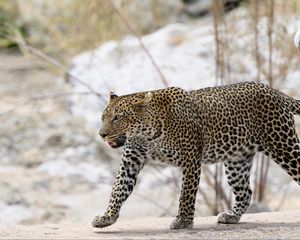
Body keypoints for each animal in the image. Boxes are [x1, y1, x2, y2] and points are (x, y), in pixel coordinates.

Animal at [91, 82, 300, 229]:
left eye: (117, 118)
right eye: (103, 118)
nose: (101, 134)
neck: (148, 134)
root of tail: (275, 91)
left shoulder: (190, 159)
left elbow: (186, 193)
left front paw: (183, 221)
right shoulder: (131, 160)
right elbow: (118, 190)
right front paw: (107, 217)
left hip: (283, 146)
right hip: (236, 161)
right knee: (245, 192)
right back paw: (231, 216)